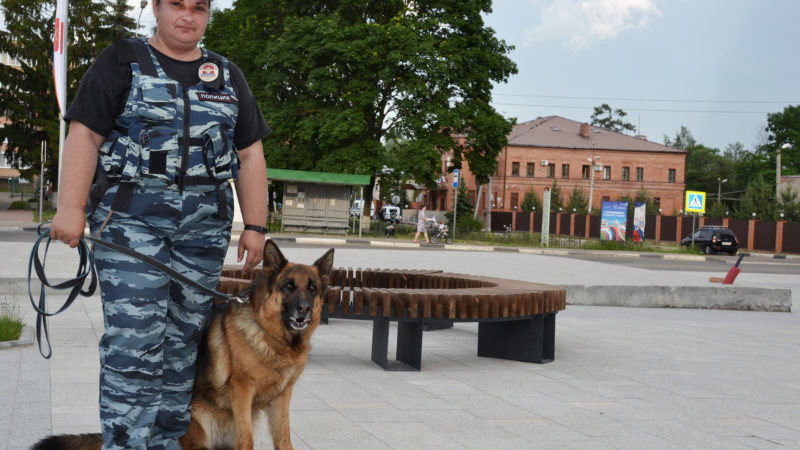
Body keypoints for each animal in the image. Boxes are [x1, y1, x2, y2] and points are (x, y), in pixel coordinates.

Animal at [33, 239, 334, 450]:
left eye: (312, 288)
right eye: (289, 287)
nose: (304, 311)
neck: (272, 335)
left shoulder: (282, 398)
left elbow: (284, 440)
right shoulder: (242, 393)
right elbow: (246, 439)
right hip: (199, 418)